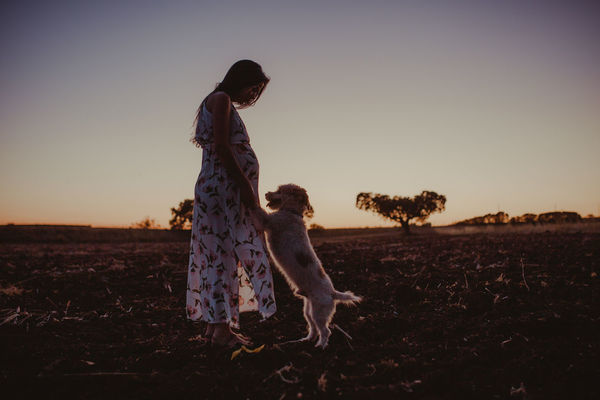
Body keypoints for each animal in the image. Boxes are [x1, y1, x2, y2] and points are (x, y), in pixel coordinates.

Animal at [250, 184, 358, 346]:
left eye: (280, 190)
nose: (266, 193)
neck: (292, 213)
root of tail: (332, 293)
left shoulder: (267, 220)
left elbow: (258, 210)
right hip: (308, 311)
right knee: (313, 328)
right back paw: (306, 340)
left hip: (318, 313)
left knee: (325, 331)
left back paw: (321, 346)